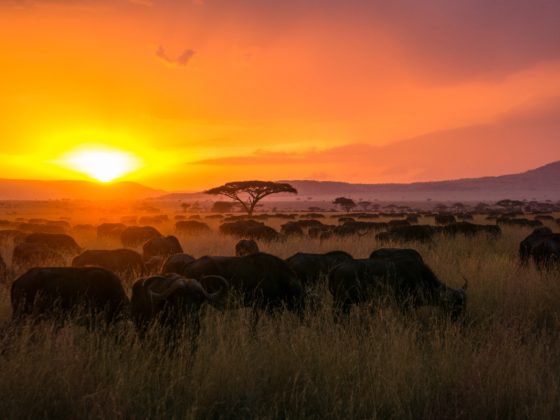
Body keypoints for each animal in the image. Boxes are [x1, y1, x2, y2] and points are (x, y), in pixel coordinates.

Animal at [328, 248, 468, 320]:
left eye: (462, 304)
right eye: (454, 304)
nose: (457, 319)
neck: (419, 277)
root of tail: (336, 268)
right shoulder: (404, 305)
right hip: (342, 302)